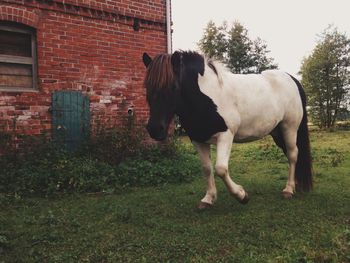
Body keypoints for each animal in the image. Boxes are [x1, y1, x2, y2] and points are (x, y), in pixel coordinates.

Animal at [142, 50, 312, 210]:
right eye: (147, 86)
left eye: (173, 87)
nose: (155, 129)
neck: (207, 95)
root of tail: (292, 79)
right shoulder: (198, 139)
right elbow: (207, 169)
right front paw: (208, 199)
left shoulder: (225, 136)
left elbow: (221, 169)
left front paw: (242, 196)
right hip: (277, 132)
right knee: (290, 154)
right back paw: (296, 184)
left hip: (289, 128)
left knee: (293, 154)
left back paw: (288, 189)